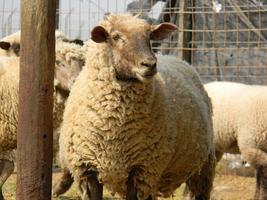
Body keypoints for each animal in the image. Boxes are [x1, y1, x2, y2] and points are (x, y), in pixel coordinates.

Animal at [59, 14, 216, 200]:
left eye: (149, 36)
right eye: (116, 37)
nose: (149, 64)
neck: (113, 129)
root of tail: (181, 60)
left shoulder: (141, 171)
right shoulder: (86, 170)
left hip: (202, 166)